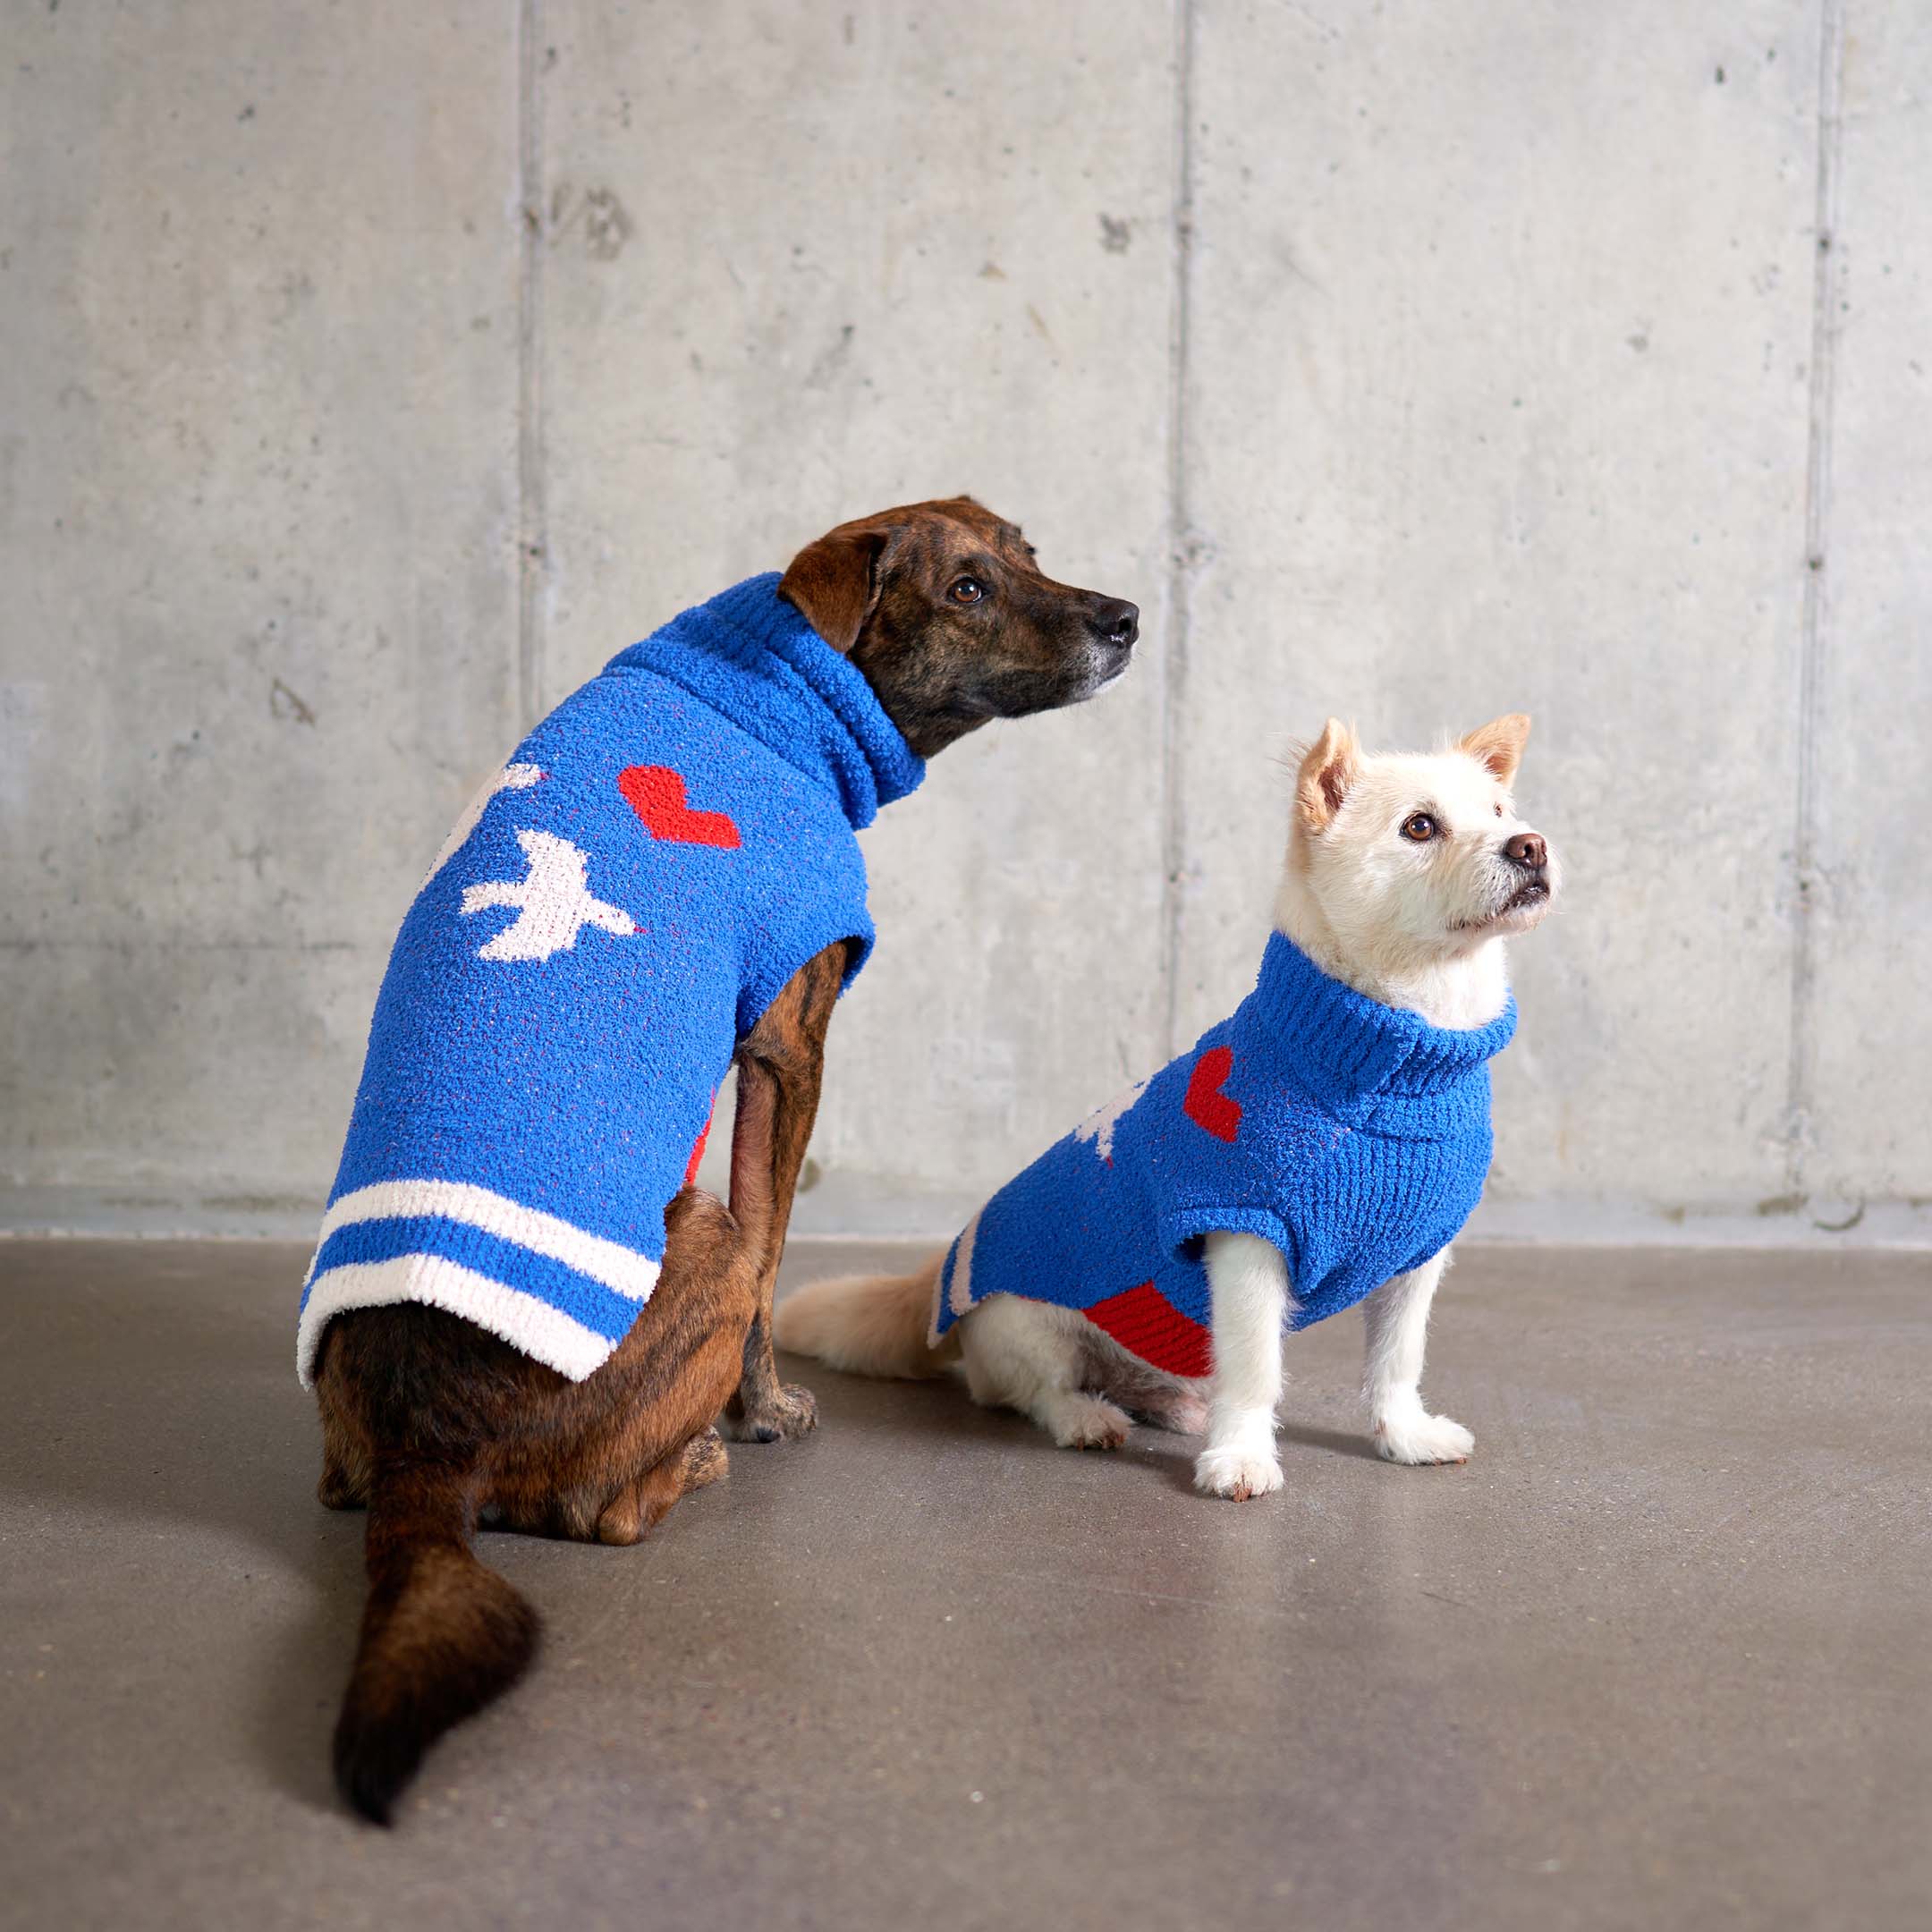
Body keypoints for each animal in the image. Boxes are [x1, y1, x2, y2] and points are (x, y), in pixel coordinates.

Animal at [309, 498, 1136, 1824]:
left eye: (1029, 551)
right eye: (965, 587)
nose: (1128, 619)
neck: (787, 683)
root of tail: (427, 1446)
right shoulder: (789, 1047)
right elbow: (775, 1248)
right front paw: (765, 1414)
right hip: (698, 1237)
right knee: (601, 1507)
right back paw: (693, 1458)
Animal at [768, 718, 1553, 1499]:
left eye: (1500, 813)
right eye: (1419, 826)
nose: (1532, 846)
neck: (1399, 1063)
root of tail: (940, 1272)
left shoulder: (1415, 1260)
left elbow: (1396, 1360)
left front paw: (1404, 1436)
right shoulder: (1246, 1240)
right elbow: (1255, 1368)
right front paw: (1241, 1457)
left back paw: (1173, 1405)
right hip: (1025, 1327)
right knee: (1025, 1392)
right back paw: (1086, 1418)